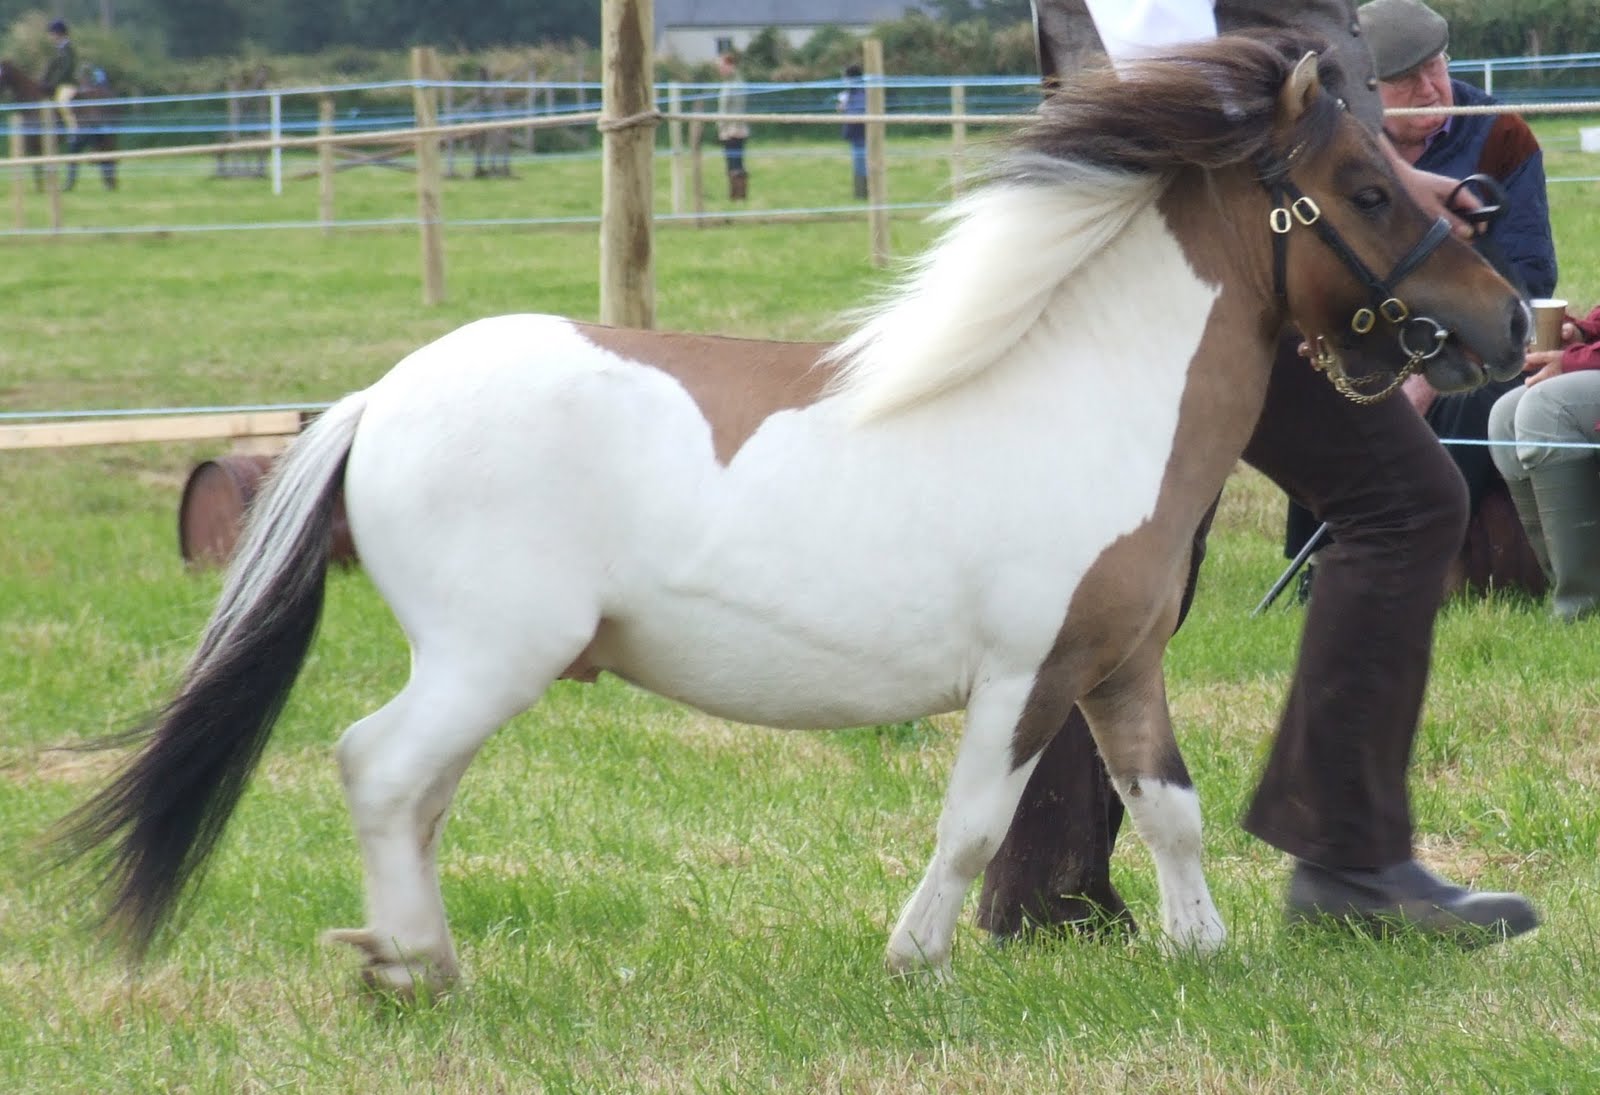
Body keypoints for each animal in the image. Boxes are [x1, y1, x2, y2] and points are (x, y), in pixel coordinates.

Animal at [0, 58, 119, 191]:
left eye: (2, 73)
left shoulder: (37, 141)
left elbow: (40, 165)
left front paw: (41, 189)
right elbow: (38, 164)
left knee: (106, 153)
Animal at [55, 33, 1530, 997]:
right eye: (1370, 190)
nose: (1505, 318)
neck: (1088, 394)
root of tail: (378, 398)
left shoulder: (1119, 667)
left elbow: (1165, 805)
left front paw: (1200, 950)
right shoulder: (1027, 674)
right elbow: (974, 820)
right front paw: (916, 958)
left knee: (417, 790)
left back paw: (416, 955)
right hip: (490, 656)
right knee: (379, 766)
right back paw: (413, 964)